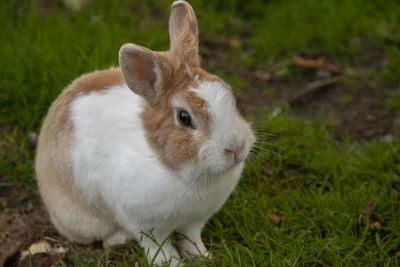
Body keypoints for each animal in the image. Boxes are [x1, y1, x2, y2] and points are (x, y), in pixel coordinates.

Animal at [36, 1, 256, 266]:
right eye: (184, 117)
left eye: (231, 97)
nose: (236, 147)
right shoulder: (146, 225)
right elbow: (160, 248)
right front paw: (173, 264)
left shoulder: (194, 221)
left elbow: (190, 239)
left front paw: (204, 257)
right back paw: (117, 238)